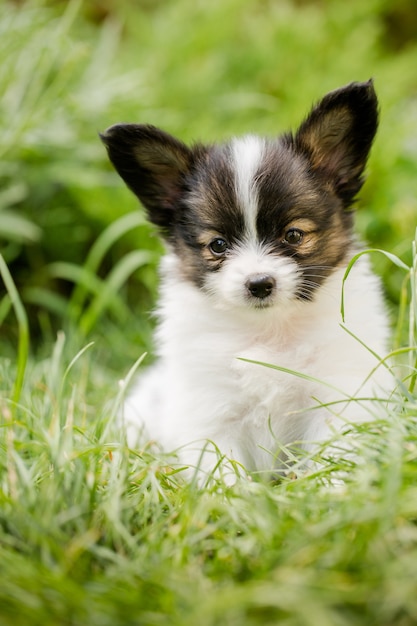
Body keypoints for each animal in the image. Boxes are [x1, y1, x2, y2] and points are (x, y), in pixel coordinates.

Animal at [101, 80, 390, 480]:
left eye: (294, 235)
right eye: (218, 245)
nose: (259, 283)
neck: (269, 331)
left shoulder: (336, 396)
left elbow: (331, 457)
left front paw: (334, 487)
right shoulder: (213, 411)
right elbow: (222, 473)